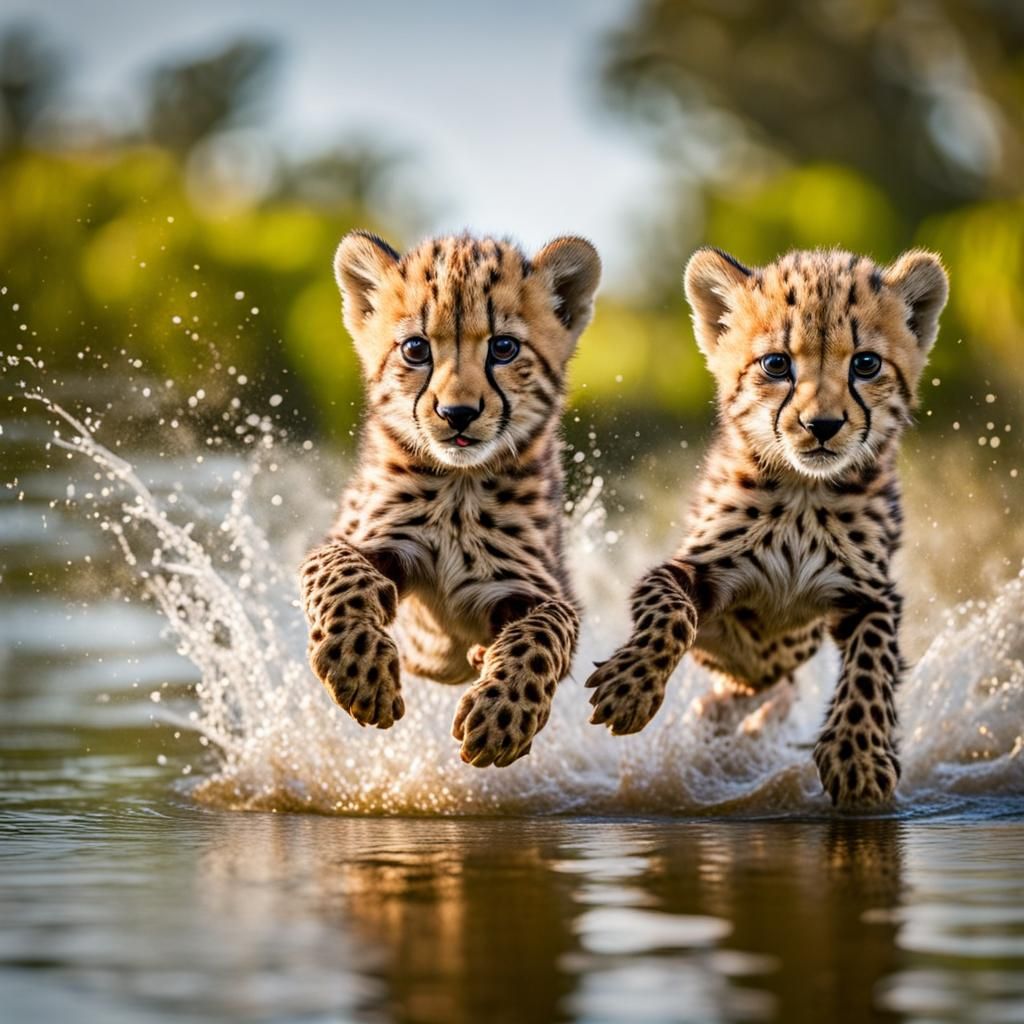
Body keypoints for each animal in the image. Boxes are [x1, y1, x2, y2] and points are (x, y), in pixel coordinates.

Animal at [300, 230, 601, 767]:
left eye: (504, 348)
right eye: (415, 349)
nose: (457, 413)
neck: (459, 487)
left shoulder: (540, 587)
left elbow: (545, 628)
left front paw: (503, 713)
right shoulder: (367, 540)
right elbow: (336, 568)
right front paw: (359, 666)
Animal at [585, 246, 948, 808]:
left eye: (865, 363)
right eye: (776, 364)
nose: (822, 426)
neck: (804, 493)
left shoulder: (873, 594)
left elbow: (871, 663)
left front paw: (858, 755)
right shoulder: (692, 572)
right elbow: (670, 609)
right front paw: (631, 685)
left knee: (766, 687)